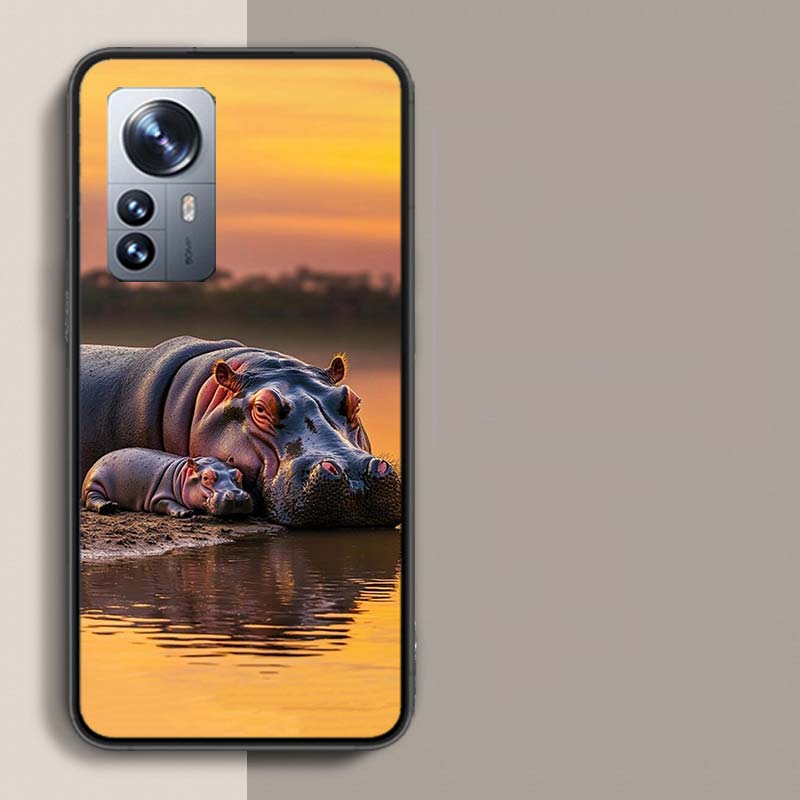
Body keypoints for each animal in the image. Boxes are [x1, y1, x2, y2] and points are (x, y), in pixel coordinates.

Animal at [82, 448, 253, 518]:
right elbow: (167, 503)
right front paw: (184, 513)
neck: (182, 476)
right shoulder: (158, 497)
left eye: (239, 474)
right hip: (94, 484)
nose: (237, 496)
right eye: (206, 478)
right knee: (92, 499)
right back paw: (108, 506)